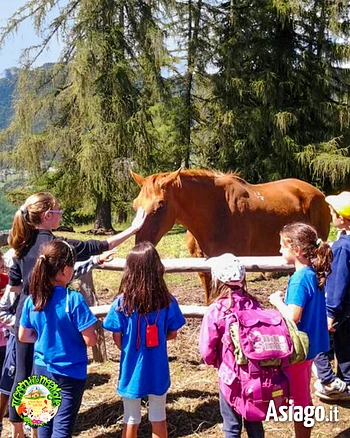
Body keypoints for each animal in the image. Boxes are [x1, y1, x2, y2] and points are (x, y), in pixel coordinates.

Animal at [131, 169, 330, 302]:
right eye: (135, 204)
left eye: (161, 205)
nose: (140, 241)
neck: (217, 213)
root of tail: (318, 193)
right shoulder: (203, 269)